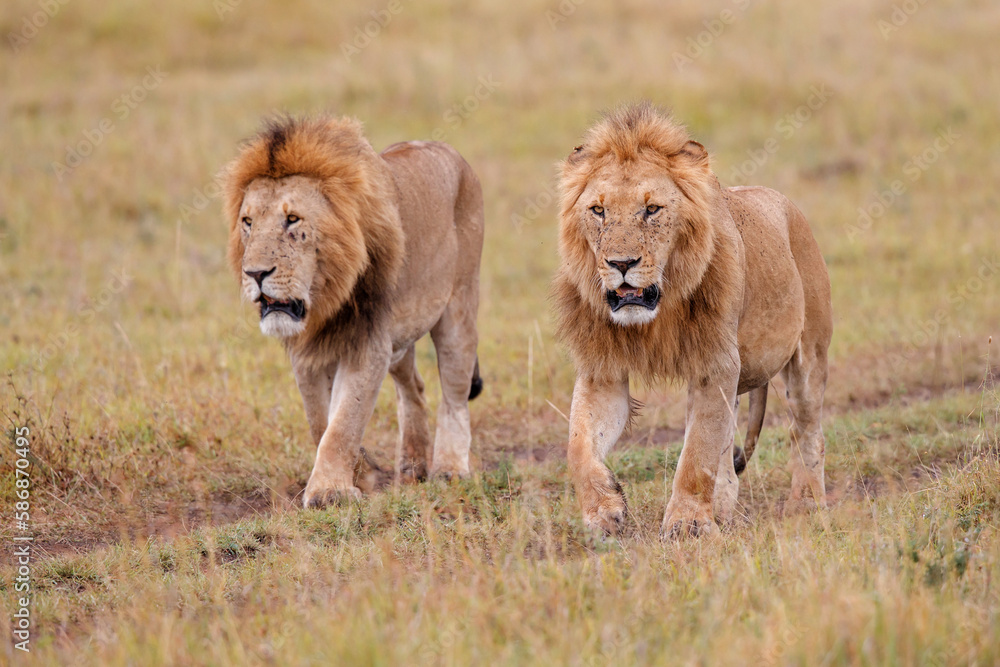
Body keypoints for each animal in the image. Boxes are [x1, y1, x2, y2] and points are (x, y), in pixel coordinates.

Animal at [222, 117, 484, 508]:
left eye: (292, 219)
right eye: (248, 222)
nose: (254, 274)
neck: (324, 299)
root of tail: (452, 152)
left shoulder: (368, 344)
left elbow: (343, 421)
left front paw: (330, 491)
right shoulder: (310, 352)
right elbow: (321, 420)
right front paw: (361, 474)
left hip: (458, 309)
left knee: (454, 395)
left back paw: (450, 469)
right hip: (400, 340)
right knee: (414, 387)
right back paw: (412, 465)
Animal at [556, 103, 836, 536]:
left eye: (652, 209)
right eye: (598, 210)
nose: (621, 264)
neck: (655, 315)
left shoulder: (715, 365)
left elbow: (697, 453)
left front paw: (687, 524)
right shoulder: (603, 370)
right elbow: (578, 445)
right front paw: (605, 511)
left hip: (809, 359)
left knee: (807, 433)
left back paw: (805, 506)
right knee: (730, 460)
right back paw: (723, 508)